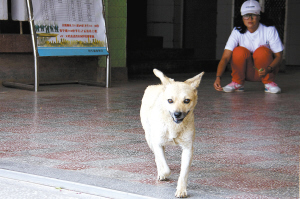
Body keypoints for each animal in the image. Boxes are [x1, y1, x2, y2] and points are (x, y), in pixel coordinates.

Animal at [141, 69, 204, 197]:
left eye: (186, 100)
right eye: (170, 100)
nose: (177, 114)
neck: (173, 125)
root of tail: (156, 85)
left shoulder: (188, 148)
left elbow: (183, 173)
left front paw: (181, 190)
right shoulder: (157, 143)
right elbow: (165, 168)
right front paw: (163, 173)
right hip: (149, 137)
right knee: (157, 157)